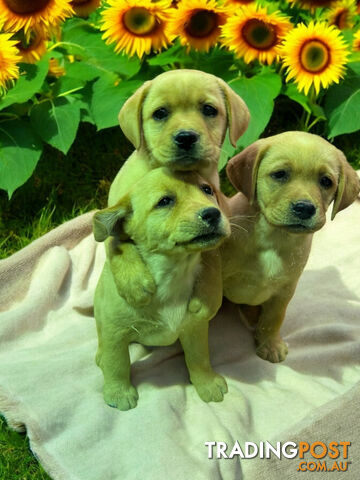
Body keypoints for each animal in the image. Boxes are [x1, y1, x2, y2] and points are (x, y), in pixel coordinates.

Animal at [94, 167, 231, 410]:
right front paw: (118, 392)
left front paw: (206, 383)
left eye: (207, 190)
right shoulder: (114, 331)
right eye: (165, 201)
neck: (173, 273)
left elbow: (199, 358)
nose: (213, 214)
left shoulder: (195, 327)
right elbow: (117, 363)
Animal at [105, 69, 249, 306]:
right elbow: (114, 242)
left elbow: (211, 254)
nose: (186, 137)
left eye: (209, 109)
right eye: (160, 113)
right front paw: (133, 280)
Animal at [222, 131, 360, 364]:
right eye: (280, 174)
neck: (275, 237)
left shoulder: (284, 290)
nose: (304, 208)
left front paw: (270, 344)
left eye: (326, 181)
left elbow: (273, 320)